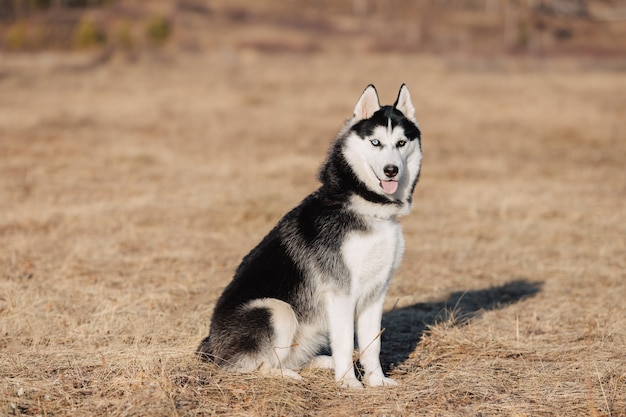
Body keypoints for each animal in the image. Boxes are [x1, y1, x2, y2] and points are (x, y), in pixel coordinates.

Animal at [197, 83, 422, 386]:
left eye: (401, 143)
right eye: (375, 143)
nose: (391, 170)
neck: (367, 208)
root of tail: (211, 345)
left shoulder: (376, 294)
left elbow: (372, 345)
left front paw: (376, 382)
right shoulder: (340, 293)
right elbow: (344, 342)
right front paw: (350, 384)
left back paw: (319, 362)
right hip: (276, 309)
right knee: (250, 365)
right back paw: (286, 375)